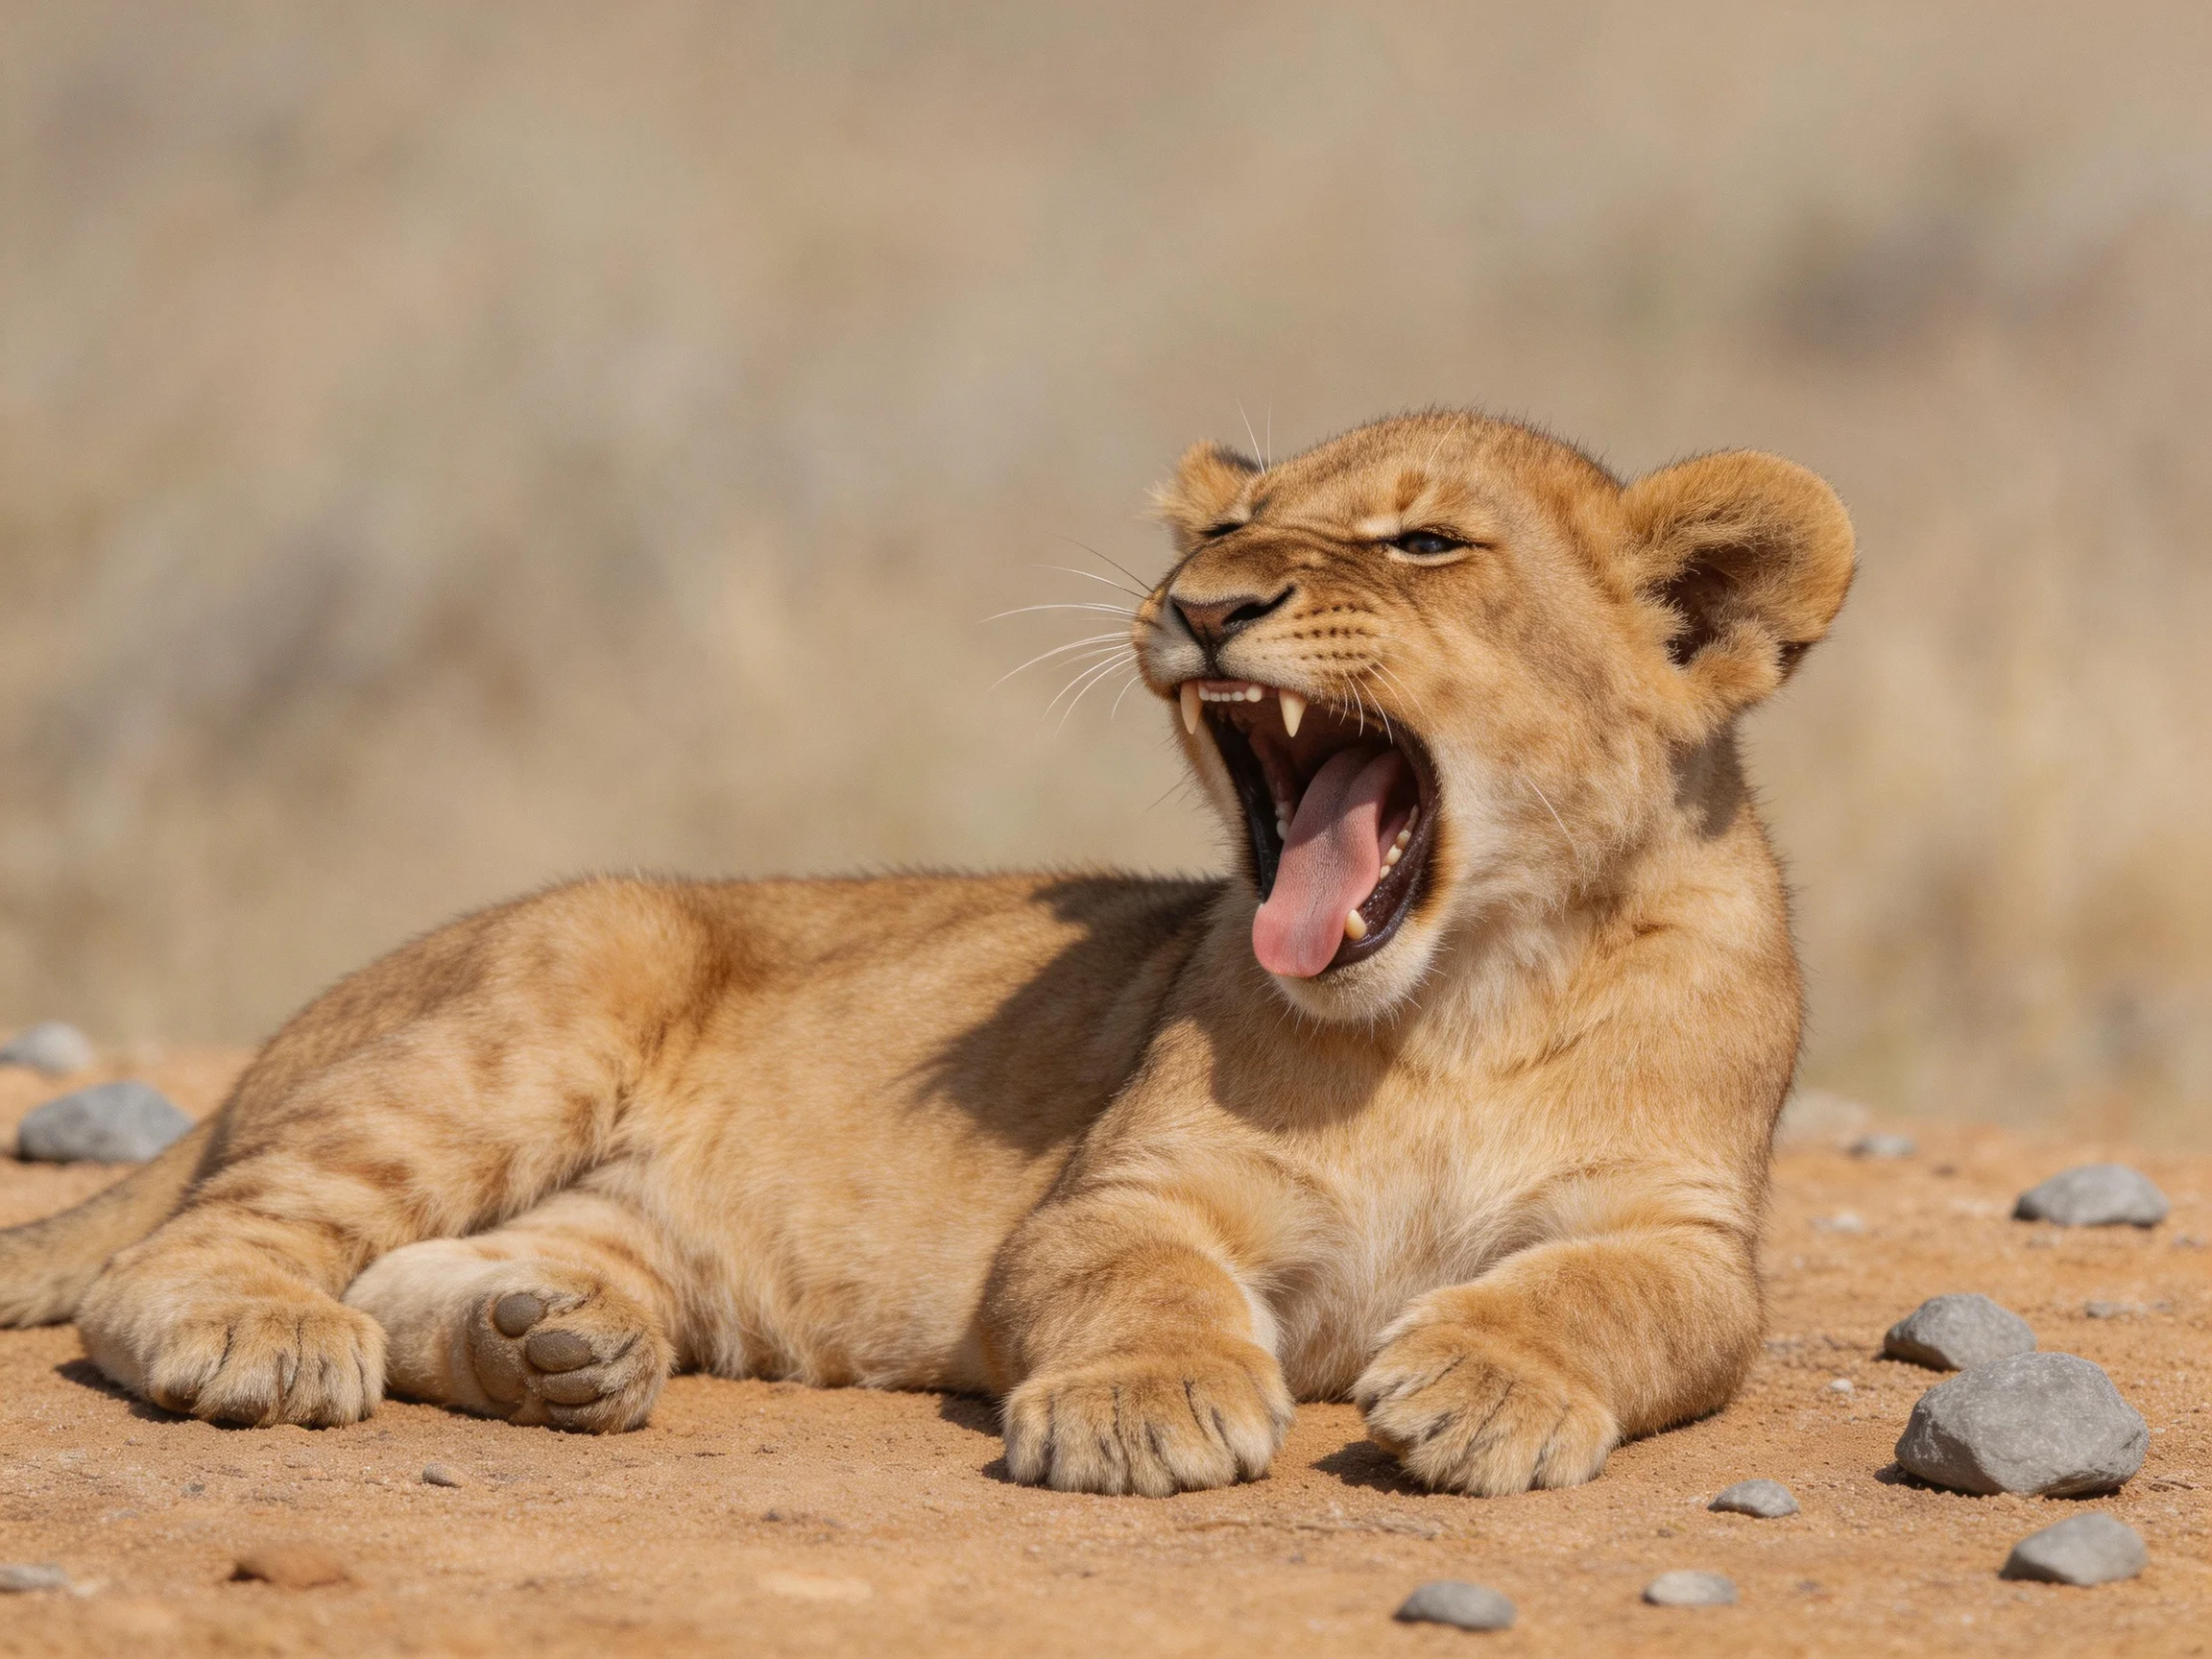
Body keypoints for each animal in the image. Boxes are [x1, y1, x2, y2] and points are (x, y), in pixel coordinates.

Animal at [0, 410, 1852, 1497]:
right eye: (1226, 525)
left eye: (1424, 543)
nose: (1203, 602)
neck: (1452, 1001)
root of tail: (273, 1041)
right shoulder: (1118, 1191)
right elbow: (1136, 1278)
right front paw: (1143, 1409)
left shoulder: (1683, 1231)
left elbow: (1608, 1295)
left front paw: (1481, 1383)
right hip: (551, 986)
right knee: (189, 1251)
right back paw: (263, 1335)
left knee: (428, 1266)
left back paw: (551, 1345)